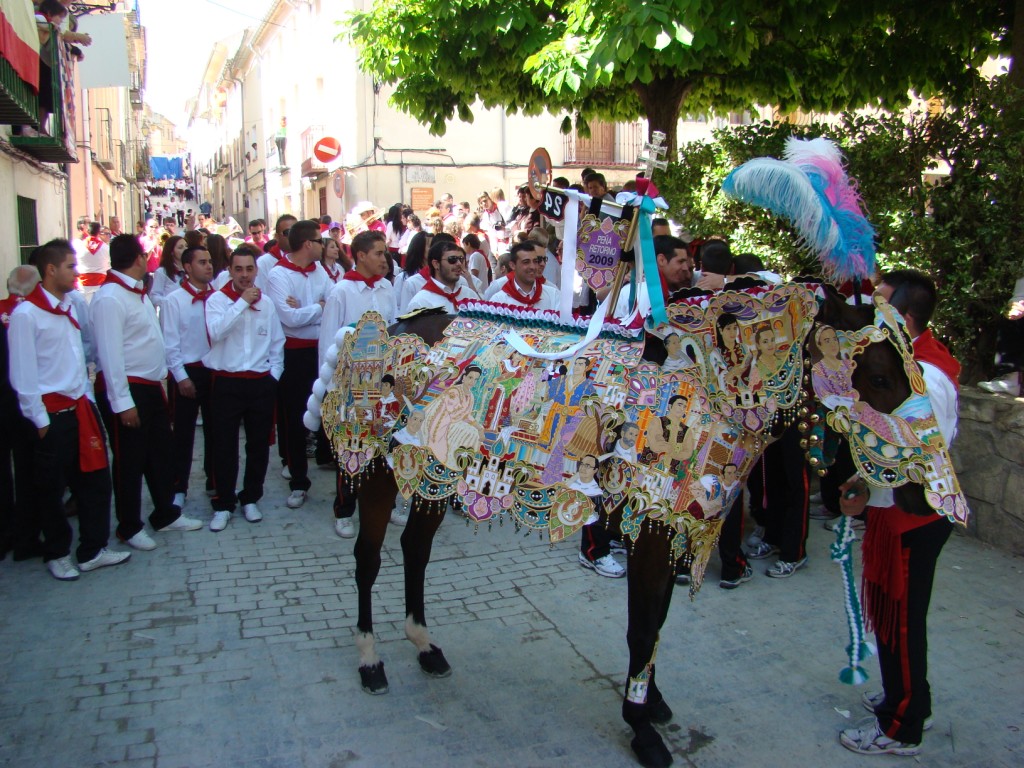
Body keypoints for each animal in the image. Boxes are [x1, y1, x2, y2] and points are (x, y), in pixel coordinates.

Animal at [301, 140, 966, 768]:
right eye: (878, 377)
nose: (926, 498)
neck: (713, 386)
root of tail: (385, 328)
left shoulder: (665, 525)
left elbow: (656, 622)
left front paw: (652, 703)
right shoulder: (651, 526)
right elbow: (644, 624)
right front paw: (642, 726)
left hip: (434, 473)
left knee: (415, 549)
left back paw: (424, 644)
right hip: (382, 470)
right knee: (368, 559)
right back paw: (370, 659)